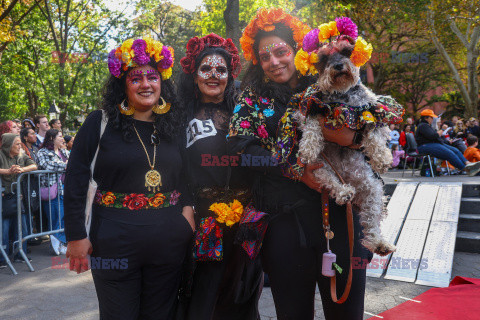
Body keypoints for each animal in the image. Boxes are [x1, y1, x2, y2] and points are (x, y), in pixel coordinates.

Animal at [296, 36, 398, 256]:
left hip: (373, 189)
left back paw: (380, 243)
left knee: (371, 221)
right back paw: (344, 192)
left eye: (346, 51)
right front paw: (308, 148)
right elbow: (311, 128)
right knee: (330, 181)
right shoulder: (312, 108)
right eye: (323, 57)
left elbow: (374, 136)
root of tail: (350, 181)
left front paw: (382, 159)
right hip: (320, 168)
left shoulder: (372, 113)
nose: (338, 66)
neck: (342, 96)